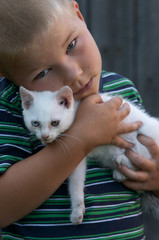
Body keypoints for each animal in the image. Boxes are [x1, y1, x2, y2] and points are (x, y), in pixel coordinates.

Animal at [19, 86, 159, 225]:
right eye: (35, 123)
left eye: (55, 123)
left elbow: (76, 182)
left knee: (142, 154)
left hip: (133, 134)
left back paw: (122, 161)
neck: (75, 114)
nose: (44, 136)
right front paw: (78, 208)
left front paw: (77, 210)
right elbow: (77, 179)